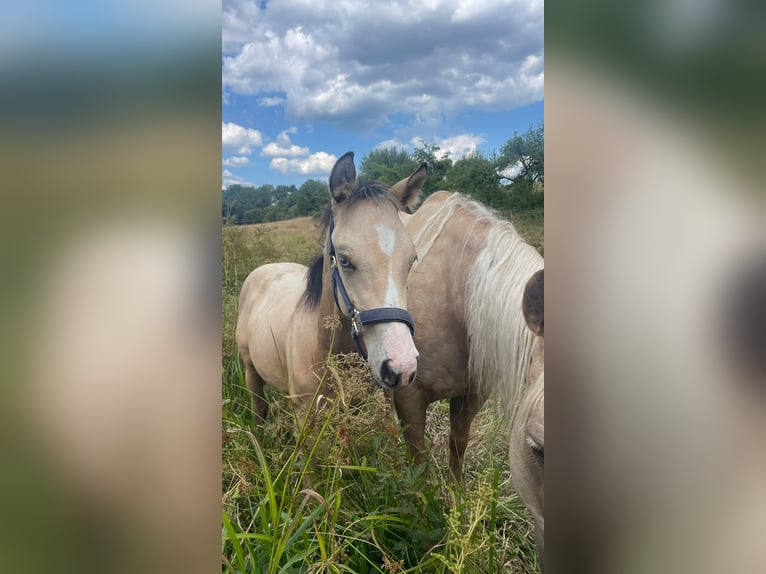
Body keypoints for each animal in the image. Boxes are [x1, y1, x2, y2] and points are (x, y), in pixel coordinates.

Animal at [236, 152, 428, 420]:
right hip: (250, 370)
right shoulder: (305, 415)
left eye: (412, 259)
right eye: (345, 260)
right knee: (258, 409)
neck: (322, 347)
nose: (401, 368)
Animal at [396, 191, 545, 558]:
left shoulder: (474, 392)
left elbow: (457, 441)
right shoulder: (408, 396)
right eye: (537, 447)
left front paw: (457, 496)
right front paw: (425, 510)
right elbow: (418, 457)